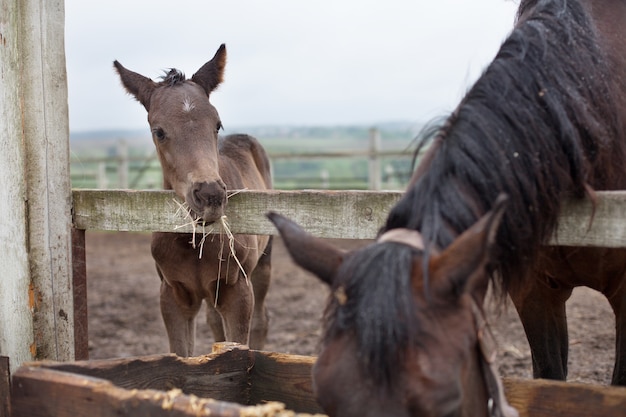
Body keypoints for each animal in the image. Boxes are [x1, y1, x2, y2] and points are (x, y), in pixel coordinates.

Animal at [116, 44, 272, 354]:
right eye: (159, 131)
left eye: (217, 124)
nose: (209, 196)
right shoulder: (173, 294)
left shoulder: (238, 291)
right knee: (214, 322)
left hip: (263, 263)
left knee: (262, 320)